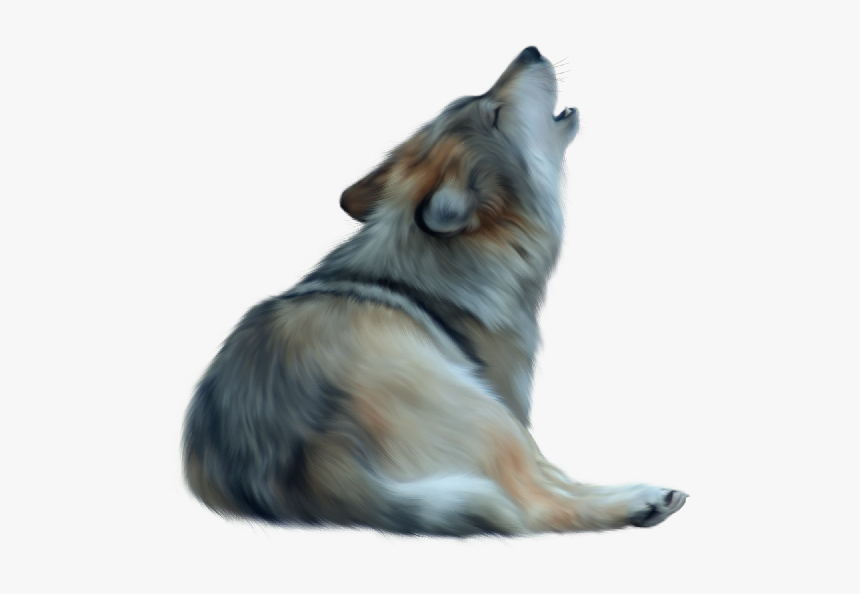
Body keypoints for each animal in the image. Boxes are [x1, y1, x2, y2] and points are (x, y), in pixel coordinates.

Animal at [182, 47, 687, 535]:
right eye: (495, 113)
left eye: (480, 100)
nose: (531, 50)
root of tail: (301, 464)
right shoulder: (511, 406)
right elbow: (550, 480)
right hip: (487, 413)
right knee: (535, 508)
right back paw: (643, 501)